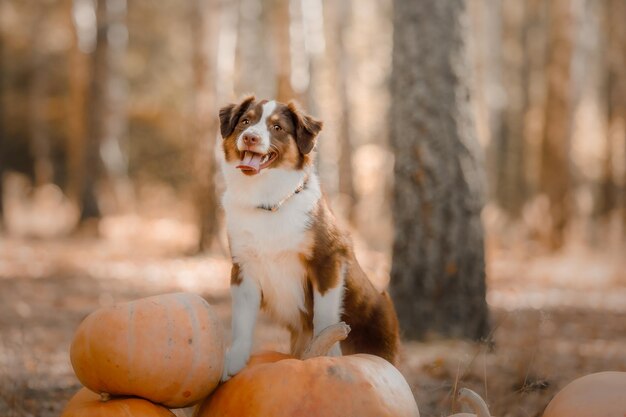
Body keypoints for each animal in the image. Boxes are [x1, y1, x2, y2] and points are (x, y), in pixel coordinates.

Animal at [217, 96, 398, 378]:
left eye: (277, 127)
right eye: (245, 121)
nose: (250, 137)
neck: (267, 202)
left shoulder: (329, 259)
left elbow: (324, 315)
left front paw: (327, 353)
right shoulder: (243, 268)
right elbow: (242, 322)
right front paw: (234, 361)